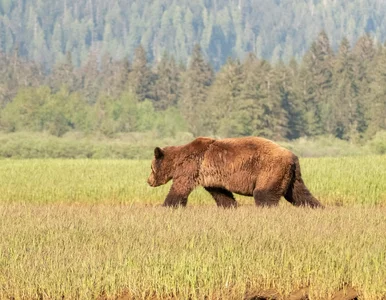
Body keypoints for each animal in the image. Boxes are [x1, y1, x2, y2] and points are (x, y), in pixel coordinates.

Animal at [148, 137, 322, 207]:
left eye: (150, 167)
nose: (148, 181)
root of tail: (292, 156)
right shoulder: (212, 177)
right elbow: (222, 194)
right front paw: (230, 206)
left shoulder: (191, 169)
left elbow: (179, 190)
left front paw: (167, 206)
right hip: (292, 176)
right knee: (300, 194)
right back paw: (317, 207)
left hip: (269, 170)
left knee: (264, 194)